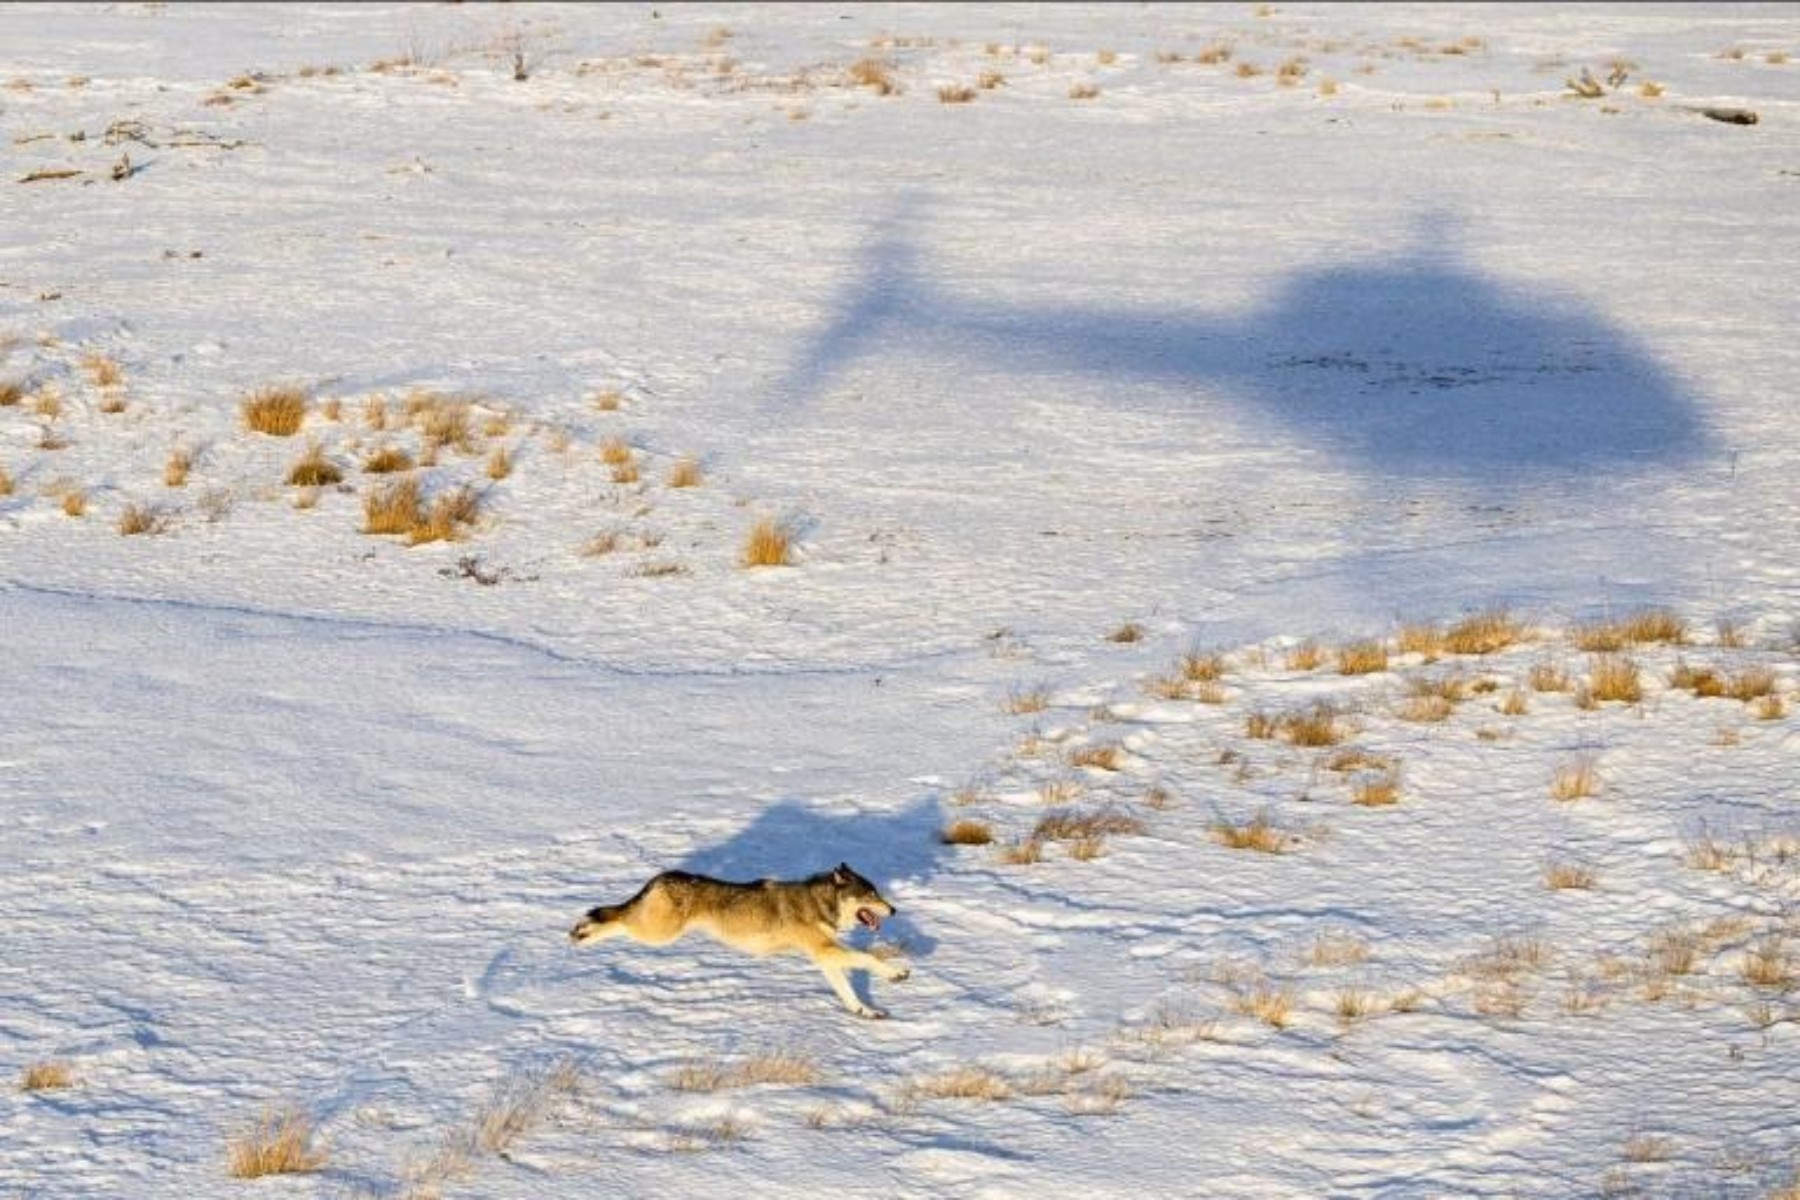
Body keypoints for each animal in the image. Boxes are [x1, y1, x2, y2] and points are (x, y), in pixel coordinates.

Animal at [569, 863, 910, 1018]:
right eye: (871, 894)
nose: (894, 909)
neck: (820, 902)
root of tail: (660, 877)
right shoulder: (826, 950)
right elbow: (869, 958)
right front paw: (898, 973)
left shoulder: (825, 957)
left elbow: (848, 992)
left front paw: (866, 1012)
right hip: (658, 933)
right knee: (616, 918)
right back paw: (582, 934)